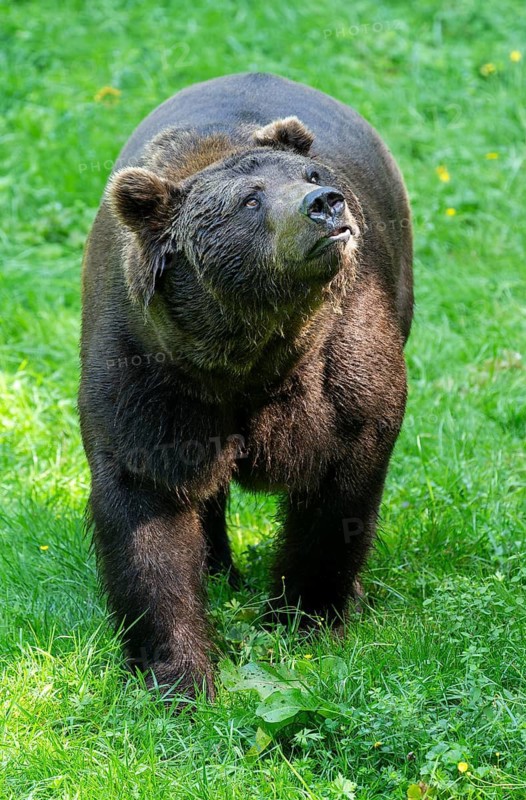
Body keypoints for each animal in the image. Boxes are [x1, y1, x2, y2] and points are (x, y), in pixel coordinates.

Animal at [78, 72, 413, 701]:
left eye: (311, 176)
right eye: (250, 200)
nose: (324, 206)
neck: (246, 351)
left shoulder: (339, 363)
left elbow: (339, 488)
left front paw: (306, 616)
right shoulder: (147, 370)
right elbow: (147, 505)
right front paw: (178, 675)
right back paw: (217, 566)